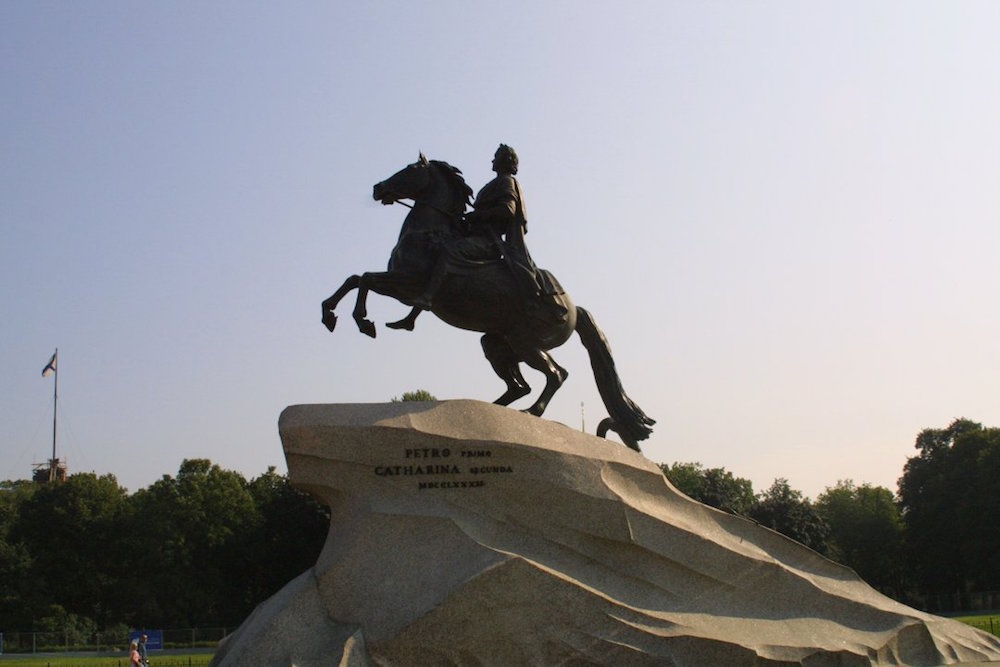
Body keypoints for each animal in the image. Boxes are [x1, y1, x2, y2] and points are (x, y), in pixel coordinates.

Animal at [316, 154, 652, 452]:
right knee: (520, 385)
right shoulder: (398, 283)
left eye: (410, 169)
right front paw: (330, 314)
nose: (378, 188)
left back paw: (531, 412)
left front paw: (363, 321)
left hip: (526, 343)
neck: (429, 231)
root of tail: (574, 308)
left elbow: (365, 280)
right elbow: (355, 278)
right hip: (497, 343)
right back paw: (489, 411)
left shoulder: (407, 283)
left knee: (556, 374)